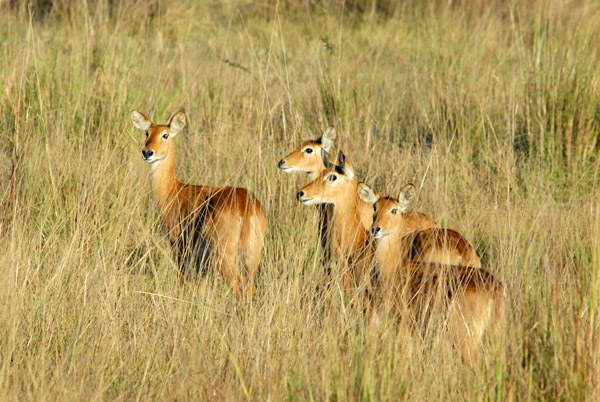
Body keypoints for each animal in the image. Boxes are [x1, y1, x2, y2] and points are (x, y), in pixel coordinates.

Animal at [131, 110, 268, 302]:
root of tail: (245, 206)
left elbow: (181, 283)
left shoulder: (179, 247)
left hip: (225, 256)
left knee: (240, 289)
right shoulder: (202, 259)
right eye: (147, 133)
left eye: (165, 135)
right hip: (252, 256)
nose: (147, 152)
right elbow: (200, 289)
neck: (173, 191)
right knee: (250, 289)